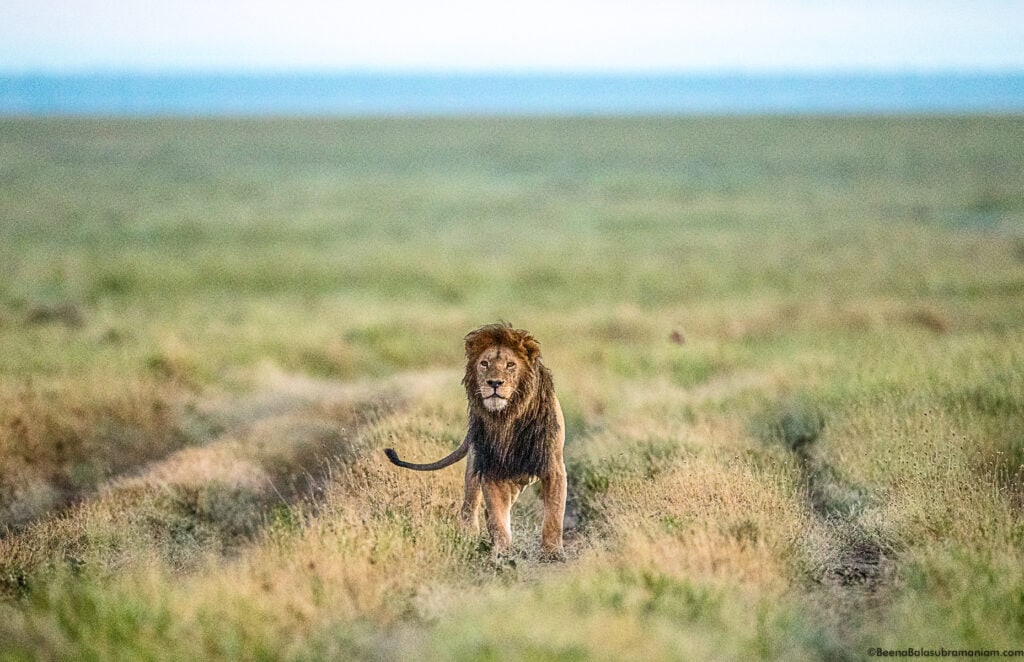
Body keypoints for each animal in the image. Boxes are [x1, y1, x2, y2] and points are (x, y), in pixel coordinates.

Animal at [382, 323, 565, 557]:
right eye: (484, 363)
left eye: (510, 365)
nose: (494, 383)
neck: (507, 417)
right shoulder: (490, 468)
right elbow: (497, 514)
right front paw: (502, 553)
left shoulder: (552, 466)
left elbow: (554, 513)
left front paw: (552, 552)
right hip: (476, 468)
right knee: (471, 506)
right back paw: (469, 535)